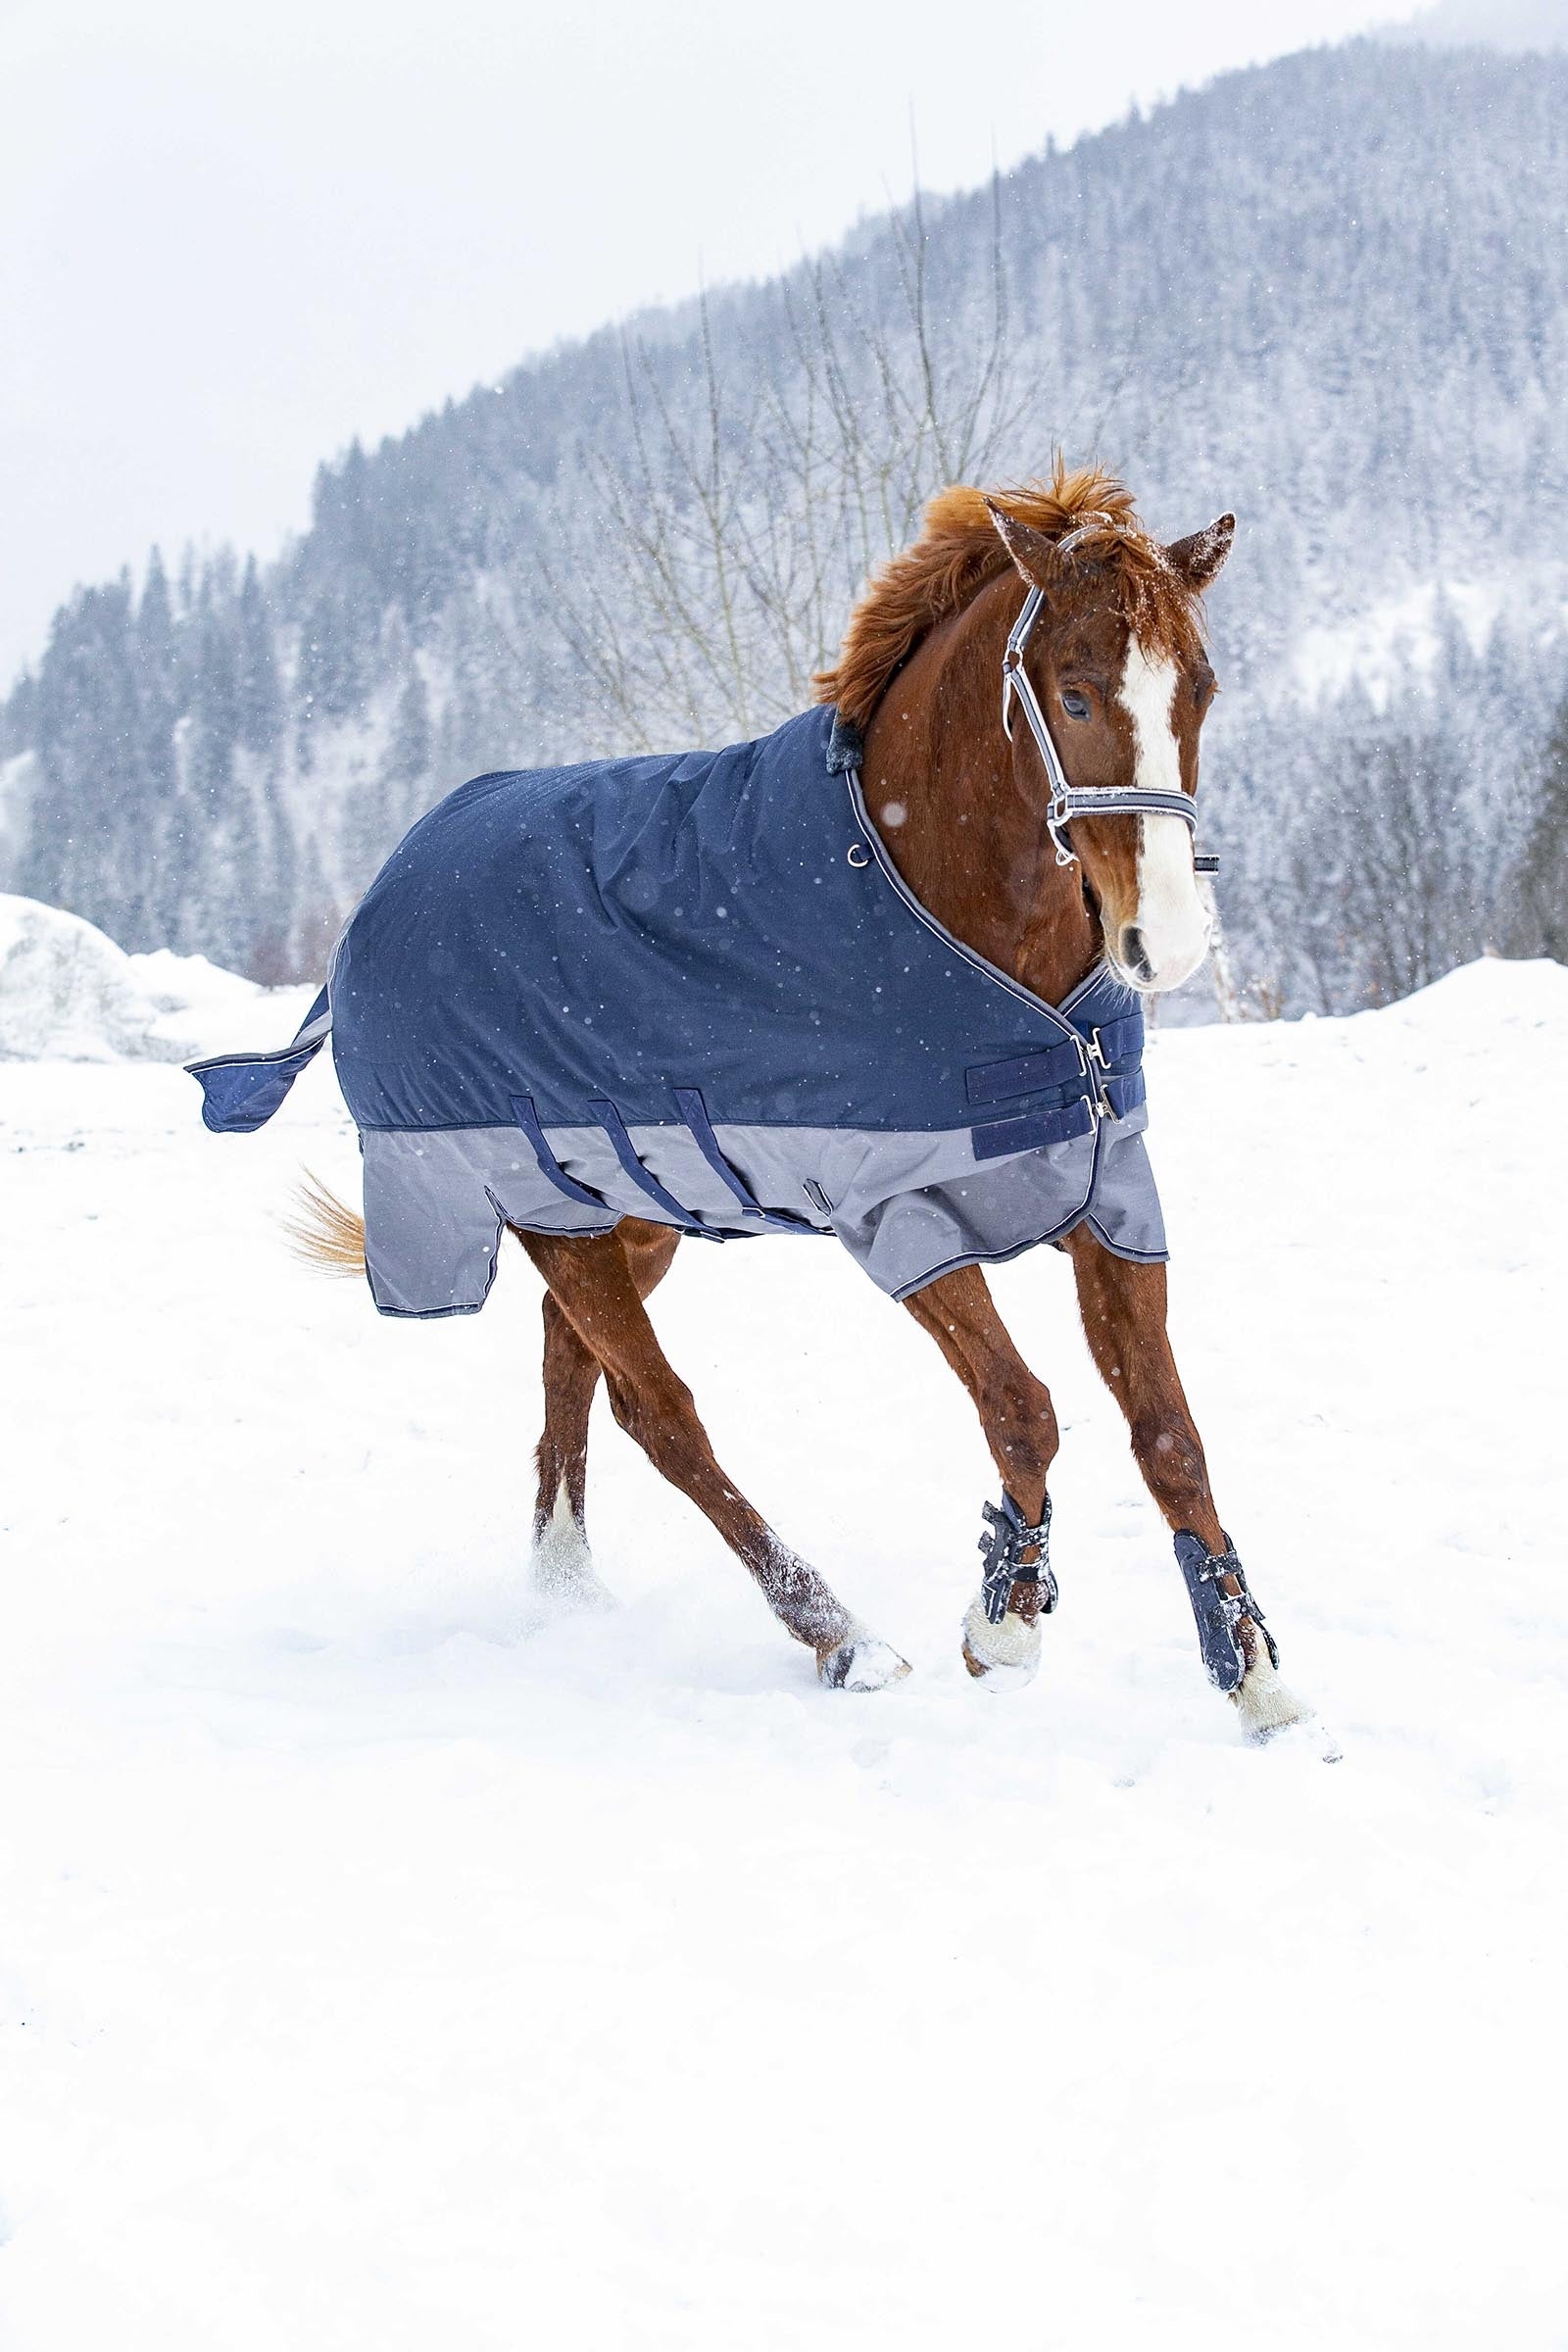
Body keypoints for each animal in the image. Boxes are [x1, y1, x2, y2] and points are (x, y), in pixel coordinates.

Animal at [260, 461, 1309, 1736]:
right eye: (1069, 692)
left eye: (1198, 686)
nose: (1164, 943)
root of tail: (389, 881)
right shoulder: (898, 1215)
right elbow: (1024, 1408)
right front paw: (1002, 1620)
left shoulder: (1106, 1195)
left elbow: (1166, 1435)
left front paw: (1249, 1669)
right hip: (548, 1210)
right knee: (659, 1414)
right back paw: (838, 1636)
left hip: (635, 1215)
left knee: (573, 1369)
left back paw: (567, 1589)